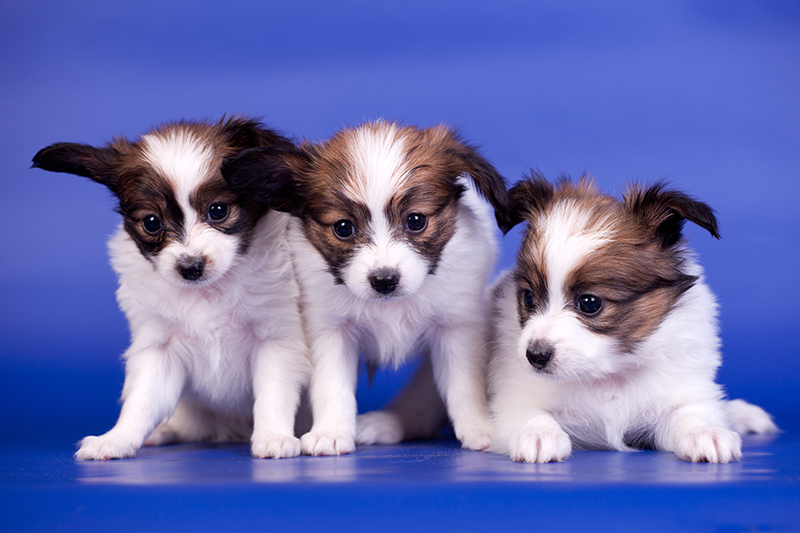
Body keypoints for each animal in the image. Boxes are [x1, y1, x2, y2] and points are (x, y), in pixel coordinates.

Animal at [31, 118, 308, 460]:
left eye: (217, 211)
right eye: (151, 222)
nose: (190, 268)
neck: (208, 292)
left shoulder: (275, 340)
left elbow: (273, 393)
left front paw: (274, 437)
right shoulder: (159, 348)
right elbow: (141, 400)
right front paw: (116, 439)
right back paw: (162, 432)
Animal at [220, 119, 506, 454]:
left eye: (416, 221)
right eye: (344, 228)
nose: (384, 281)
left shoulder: (456, 327)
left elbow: (464, 384)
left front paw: (481, 429)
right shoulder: (330, 331)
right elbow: (333, 385)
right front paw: (330, 432)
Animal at [490, 175, 780, 462]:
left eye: (589, 303)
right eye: (528, 298)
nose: (535, 356)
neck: (608, 374)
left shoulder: (679, 393)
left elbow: (689, 413)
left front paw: (705, 432)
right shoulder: (513, 397)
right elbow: (527, 413)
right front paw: (538, 434)